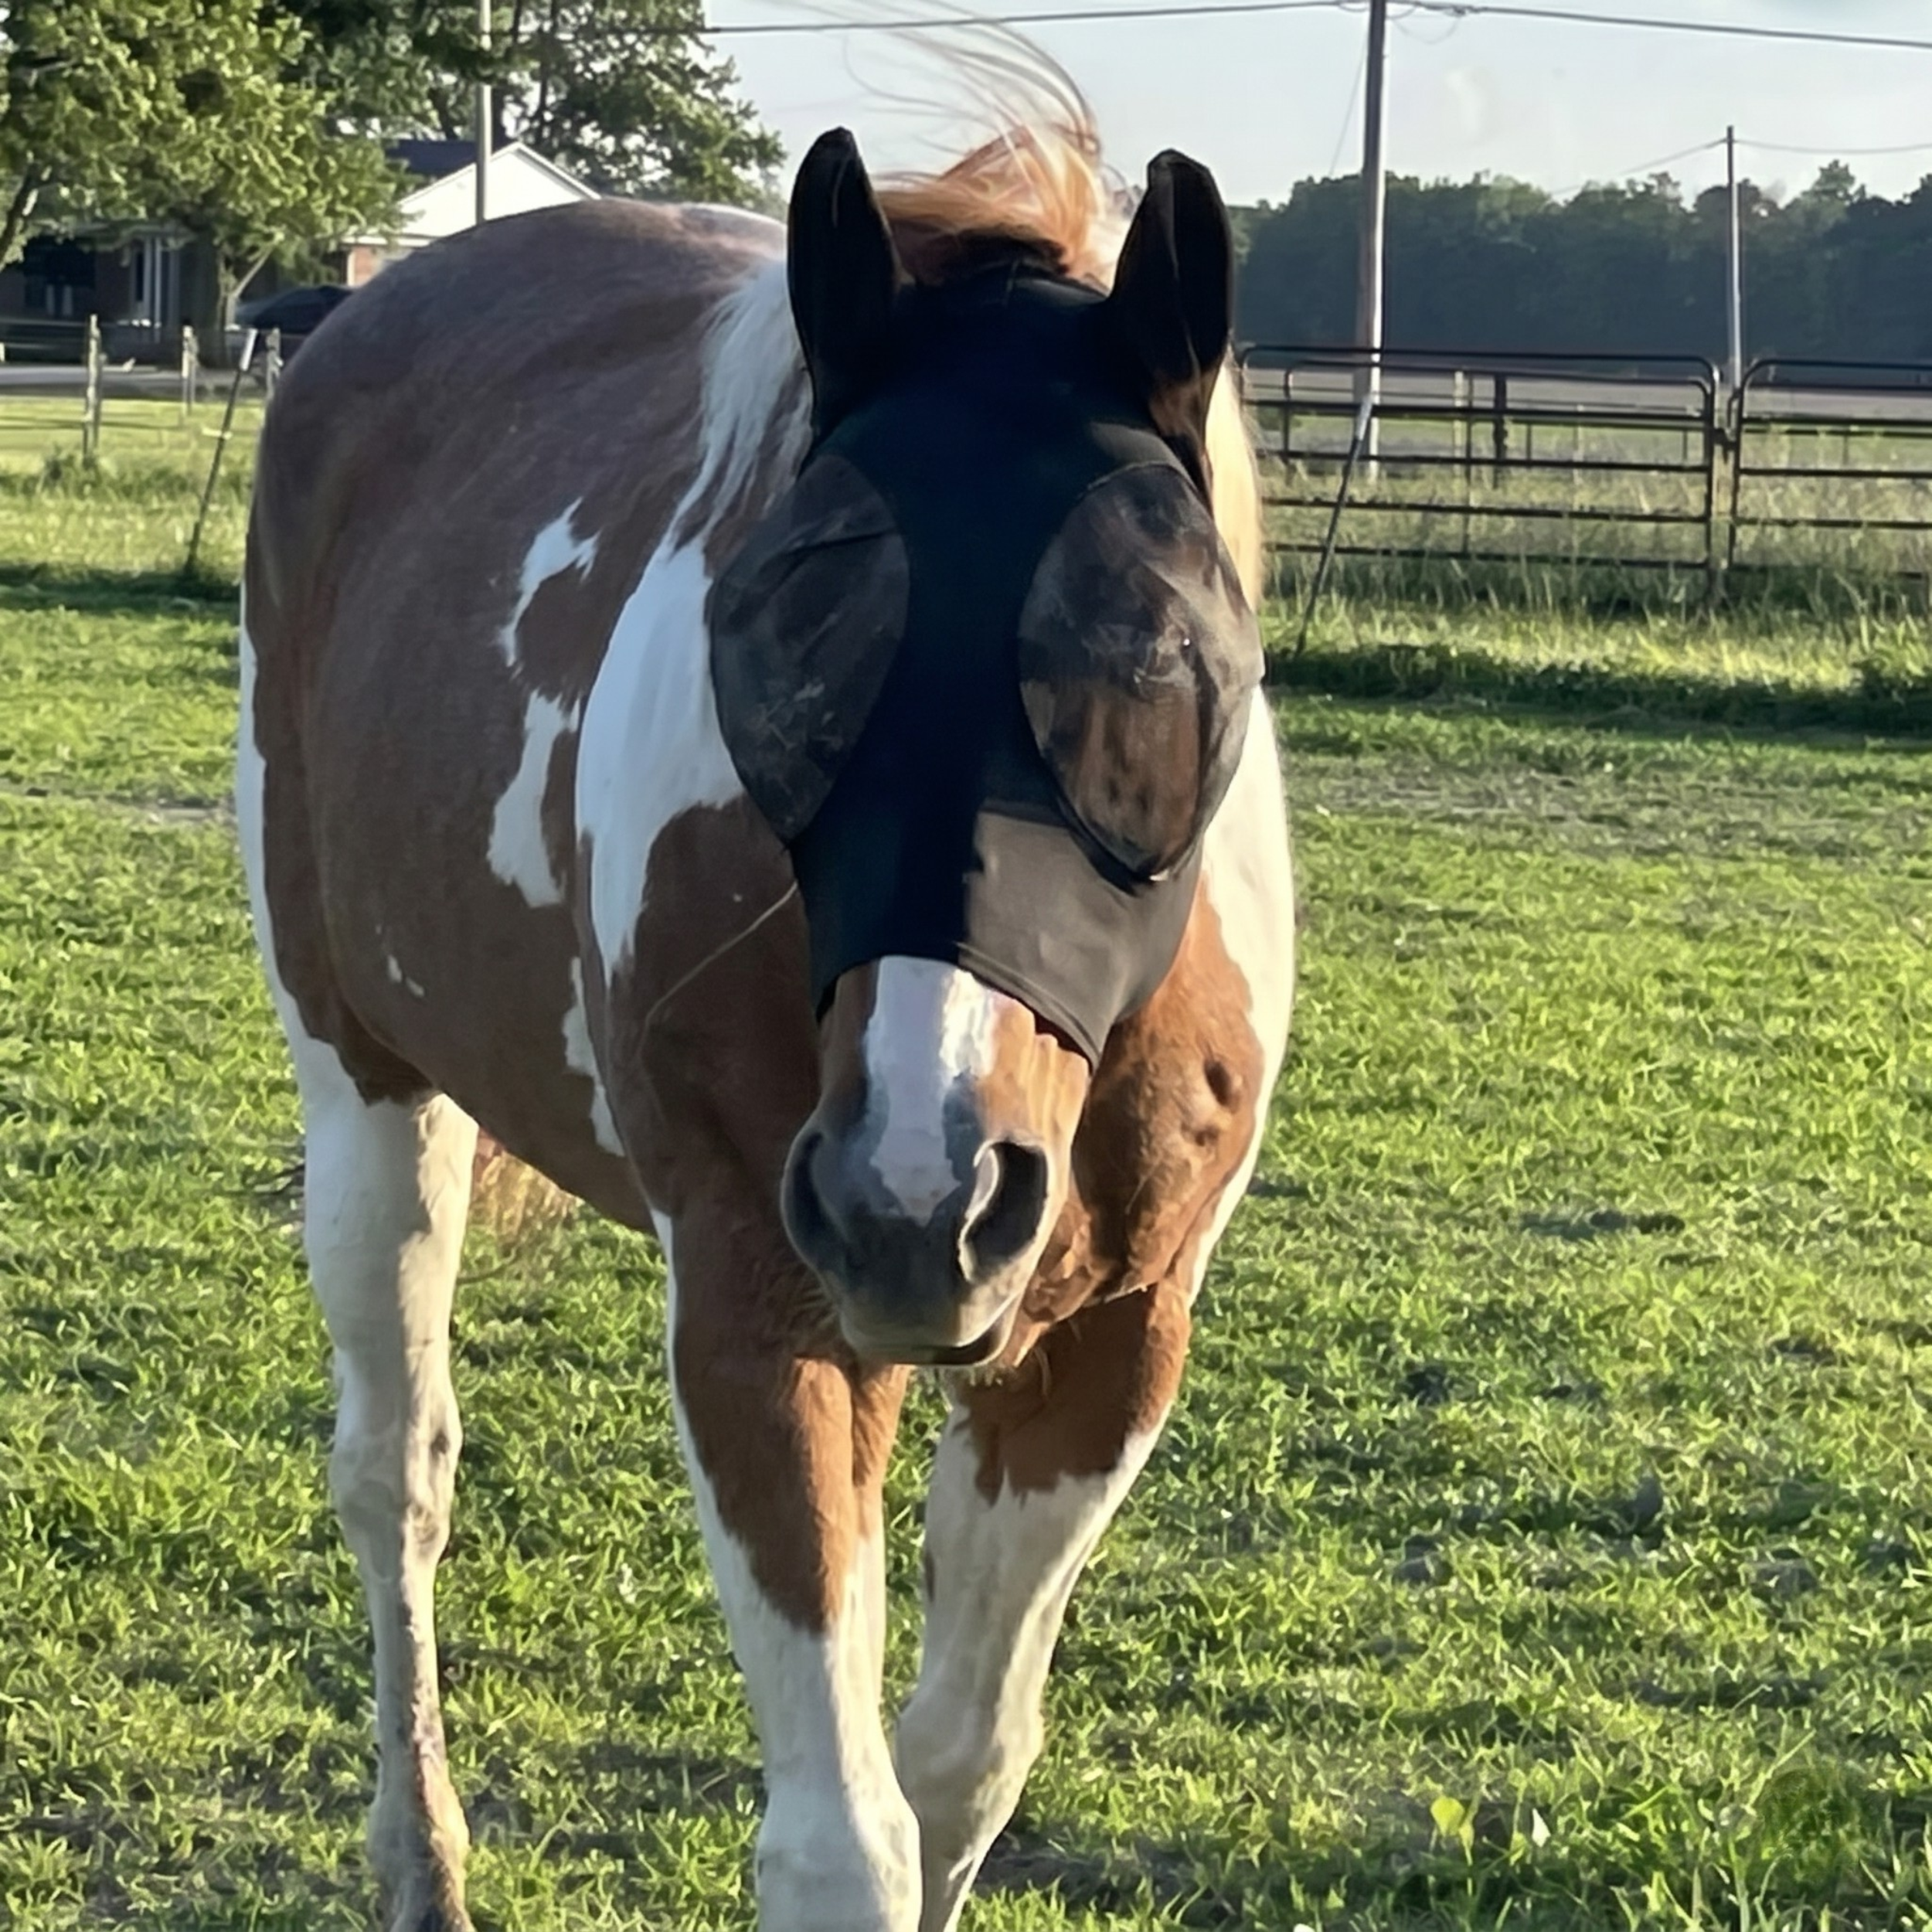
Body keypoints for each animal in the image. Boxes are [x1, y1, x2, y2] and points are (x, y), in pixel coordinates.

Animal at [238, 94, 1295, 1932]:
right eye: (782, 630)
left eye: (1160, 652)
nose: (915, 1200)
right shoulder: (757, 1314)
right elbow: (841, 1845)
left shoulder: (1109, 1345)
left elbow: (958, 1775)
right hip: (363, 1086)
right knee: (396, 1475)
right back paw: (419, 1858)